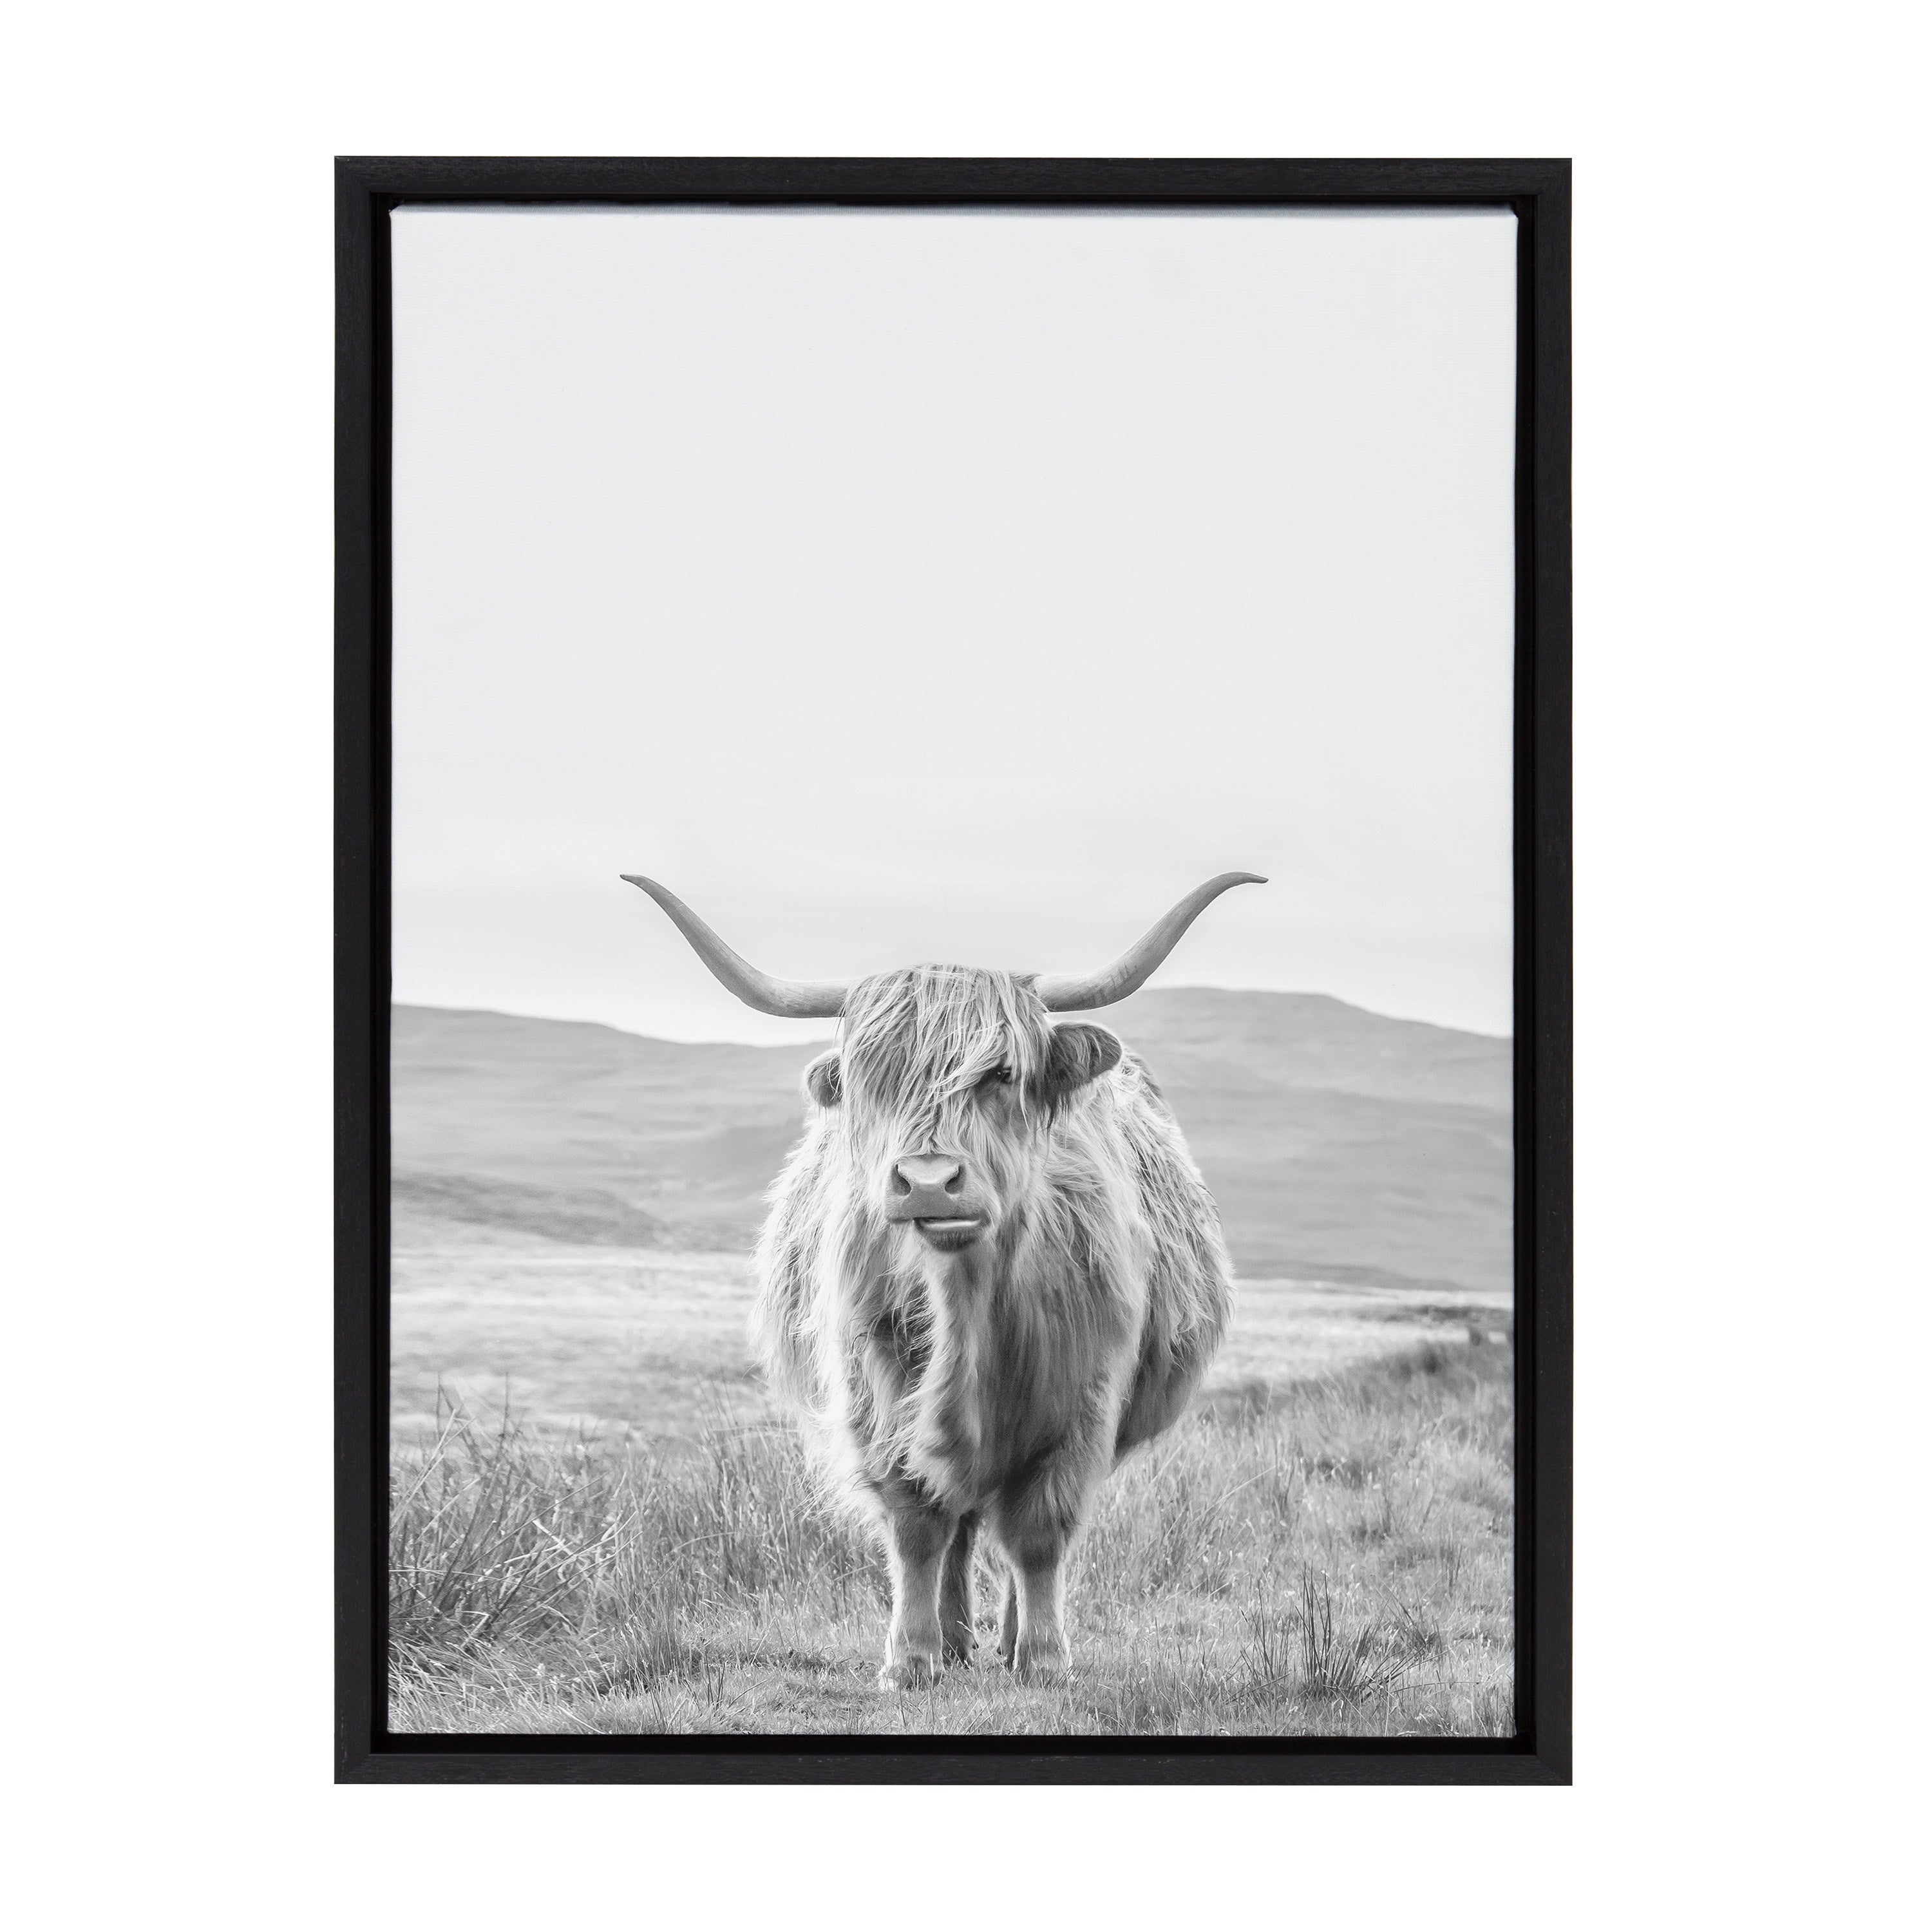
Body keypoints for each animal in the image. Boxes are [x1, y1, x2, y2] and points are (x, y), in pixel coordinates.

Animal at [622, 871, 1261, 1688]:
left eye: (1001, 1074)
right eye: (872, 1079)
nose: (928, 1182)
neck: (967, 1308)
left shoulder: (1084, 1402)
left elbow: (1040, 1532)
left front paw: (1045, 1658)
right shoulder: (875, 1390)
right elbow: (917, 1522)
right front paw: (911, 1658)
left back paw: (1012, 1637)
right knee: (956, 1522)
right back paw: (956, 1638)